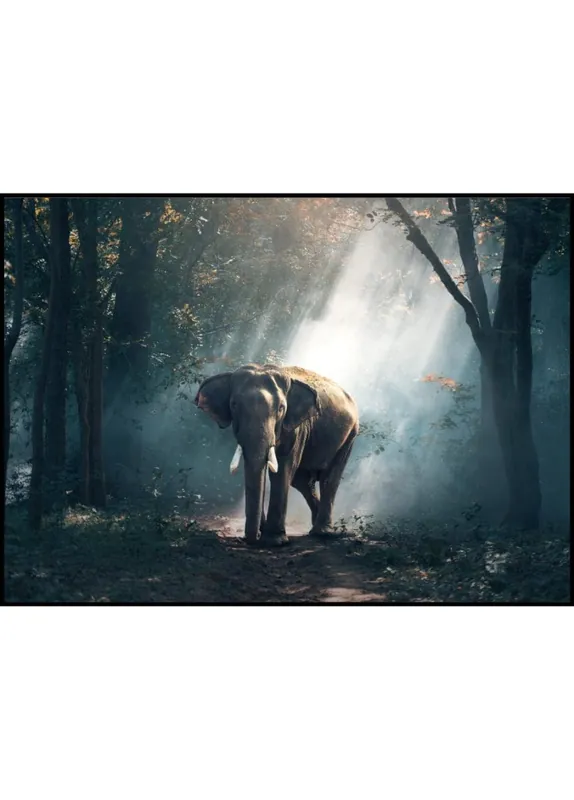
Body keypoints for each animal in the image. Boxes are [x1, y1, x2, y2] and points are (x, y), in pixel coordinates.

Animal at [194, 363, 359, 546]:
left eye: (281, 408)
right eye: (234, 405)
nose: (250, 539)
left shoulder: (296, 427)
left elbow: (283, 468)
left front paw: (274, 541)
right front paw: (265, 534)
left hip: (350, 434)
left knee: (329, 478)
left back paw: (323, 533)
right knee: (302, 481)